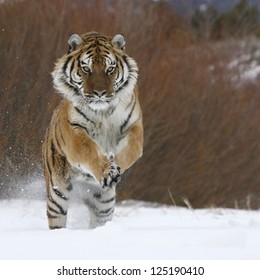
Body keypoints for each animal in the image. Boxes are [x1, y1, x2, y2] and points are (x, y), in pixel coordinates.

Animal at [43, 31, 144, 229]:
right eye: (86, 68)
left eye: (110, 69)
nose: (99, 93)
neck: (103, 112)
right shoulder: (74, 132)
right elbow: (89, 150)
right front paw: (108, 171)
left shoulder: (134, 126)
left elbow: (130, 149)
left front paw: (114, 166)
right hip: (57, 194)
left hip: (103, 206)